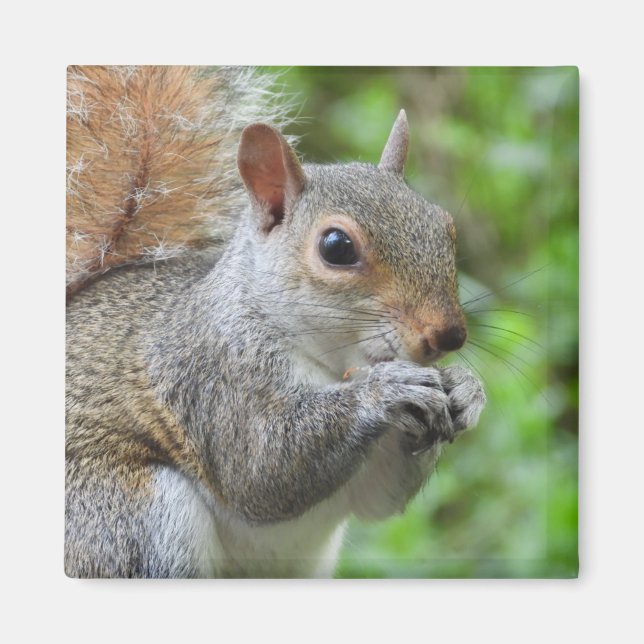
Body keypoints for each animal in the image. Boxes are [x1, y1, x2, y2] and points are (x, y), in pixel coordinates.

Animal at [65, 65, 486, 578]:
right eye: (336, 247)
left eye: (444, 226)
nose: (449, 335)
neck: (333, 364)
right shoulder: (211, 374)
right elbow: (260, 471)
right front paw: (384, 391)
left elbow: (377, 499)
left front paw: (466, 388)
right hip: (129, 514)